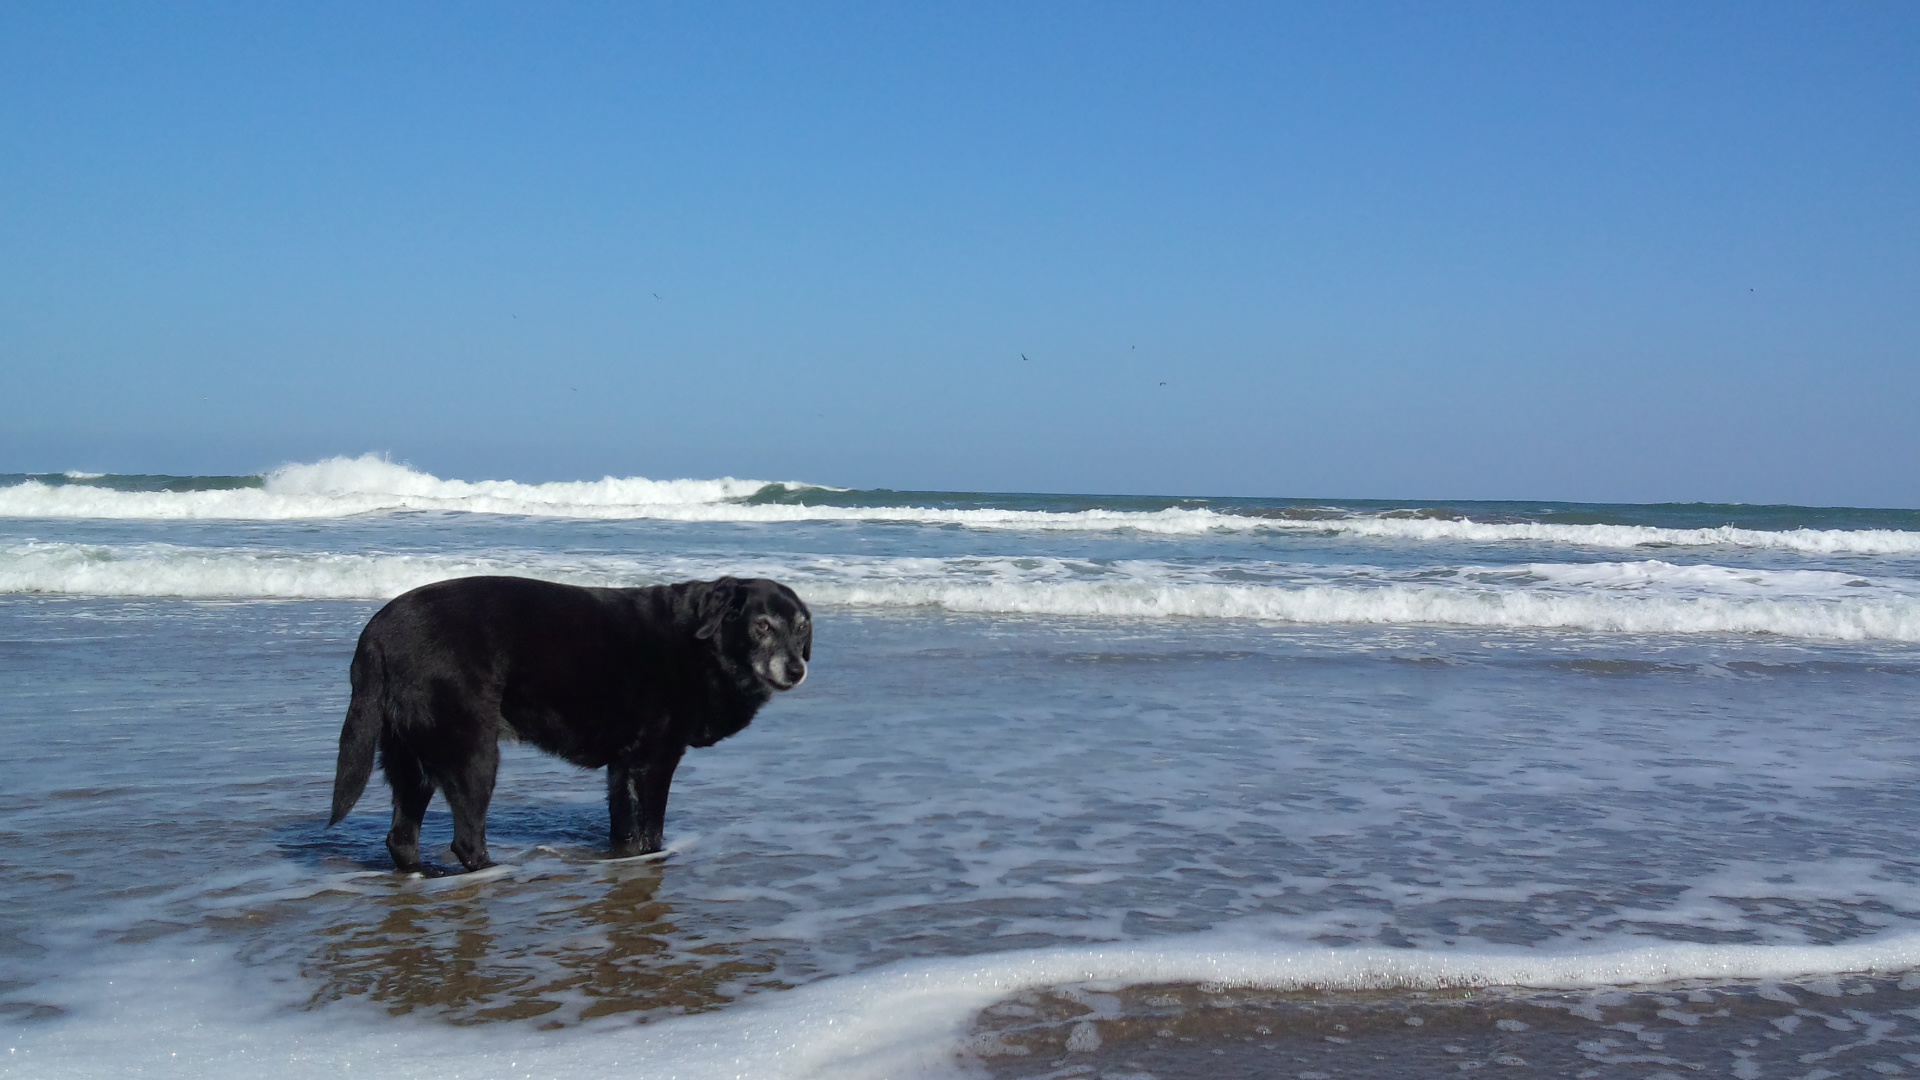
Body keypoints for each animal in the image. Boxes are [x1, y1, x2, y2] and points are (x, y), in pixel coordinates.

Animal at [327, 575, 810, 873]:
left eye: (803, 627)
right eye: (763, 626)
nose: (797, 669)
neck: (703, 646)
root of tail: (377, 631)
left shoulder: (623, 766)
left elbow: (624, 830)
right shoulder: (655, 762)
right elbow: (651, 832)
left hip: (411, 759)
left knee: (401, 838)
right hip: (473, 754)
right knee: (465, 838)